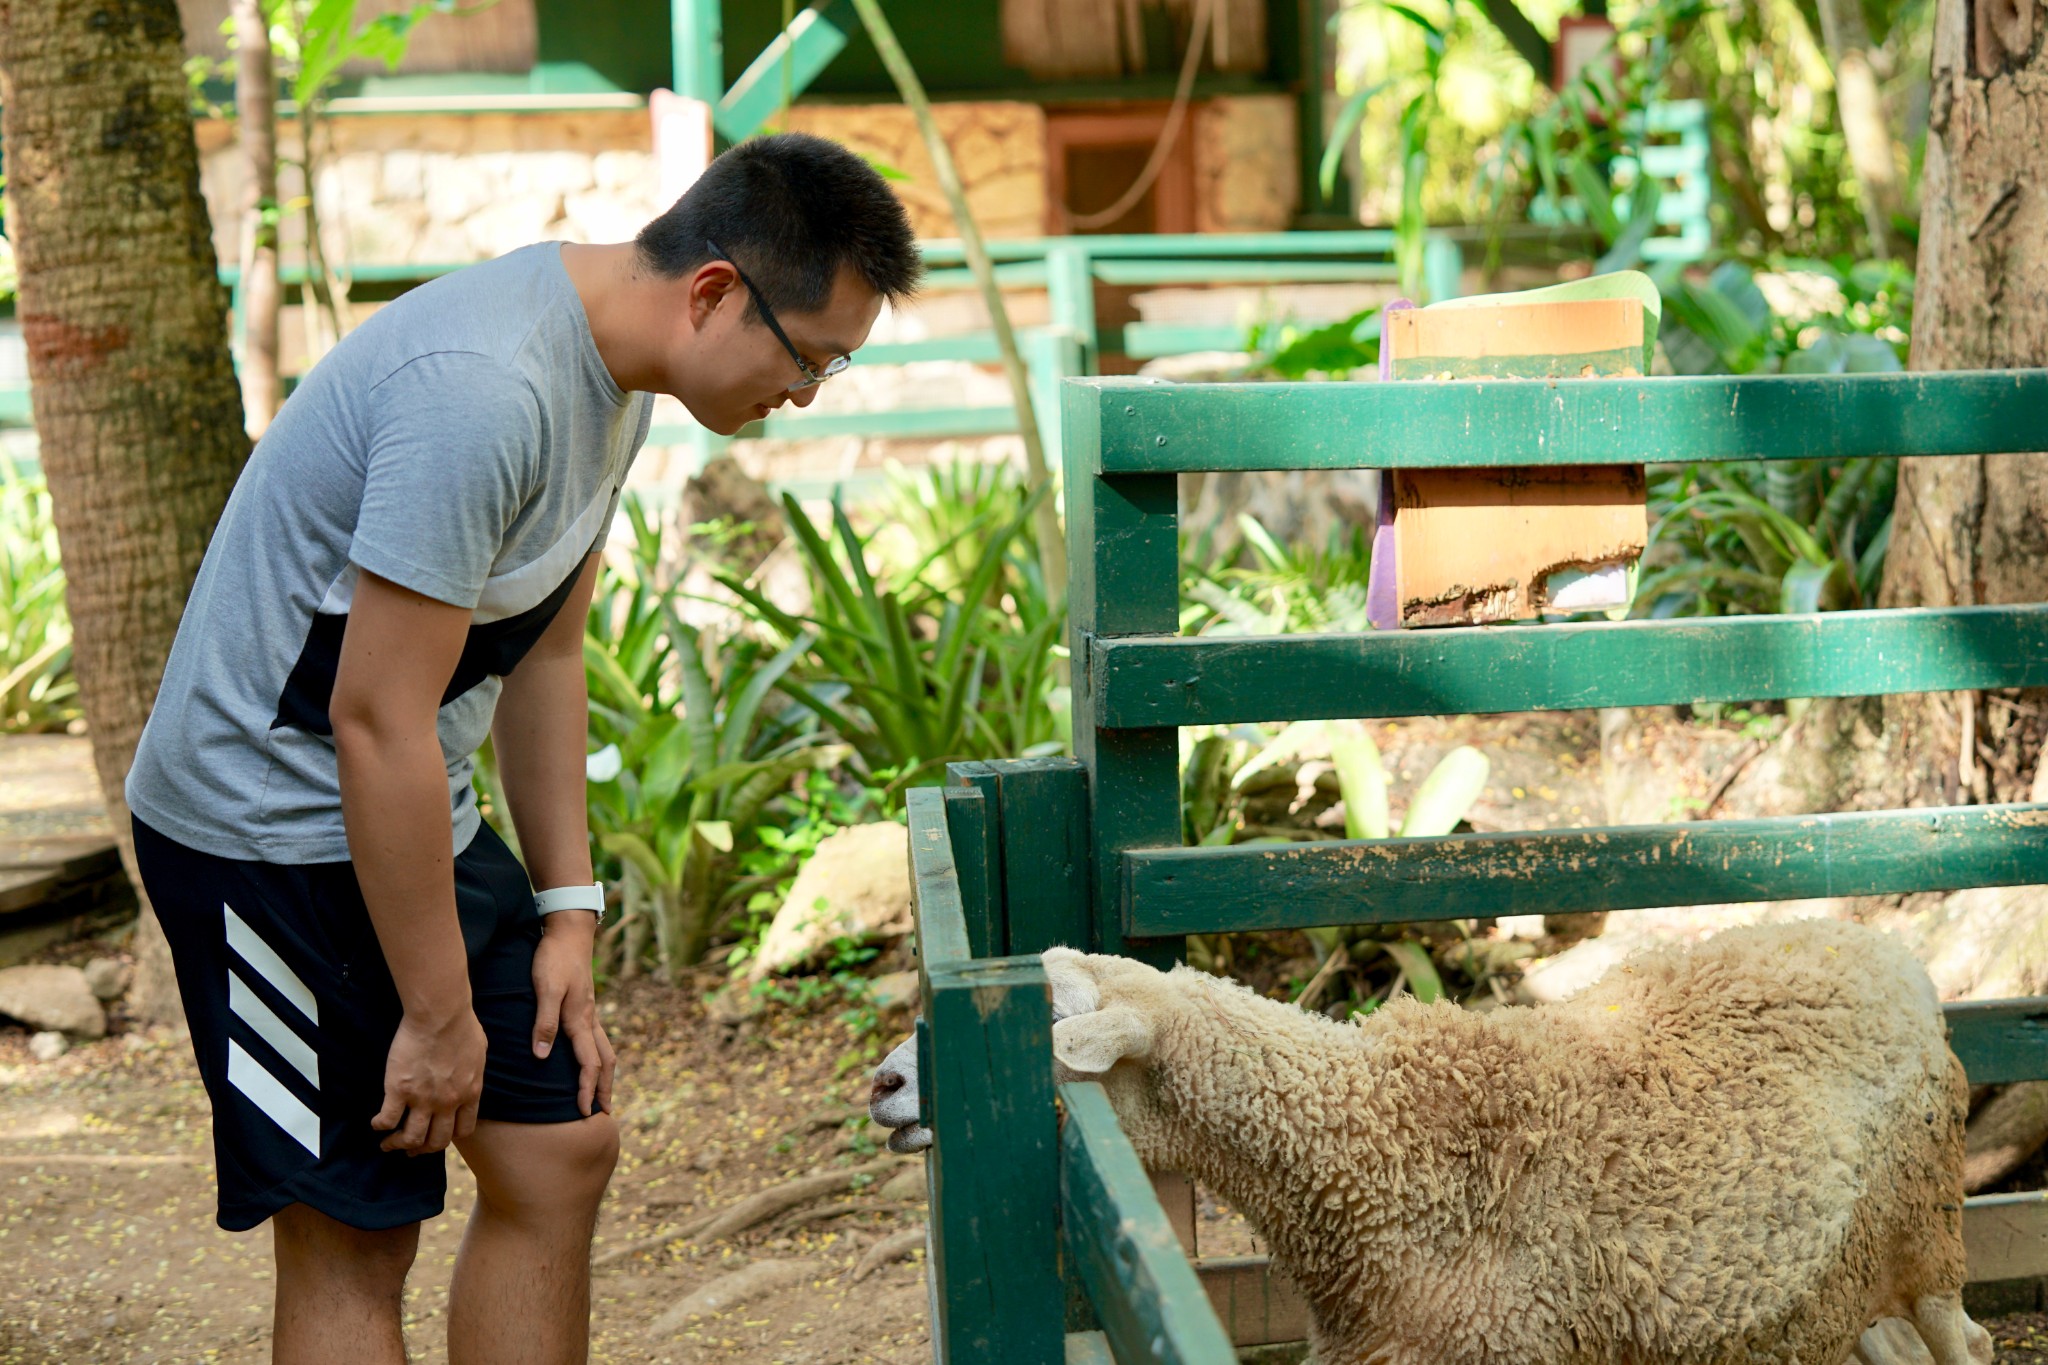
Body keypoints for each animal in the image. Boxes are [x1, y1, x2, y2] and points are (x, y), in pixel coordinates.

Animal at [872, 916, 1990, 1365]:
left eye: (1056, 1022)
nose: (882, 1084)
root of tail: (1884, 949)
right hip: (1832, 1280)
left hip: (1924, 1227)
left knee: (1966, 1345)